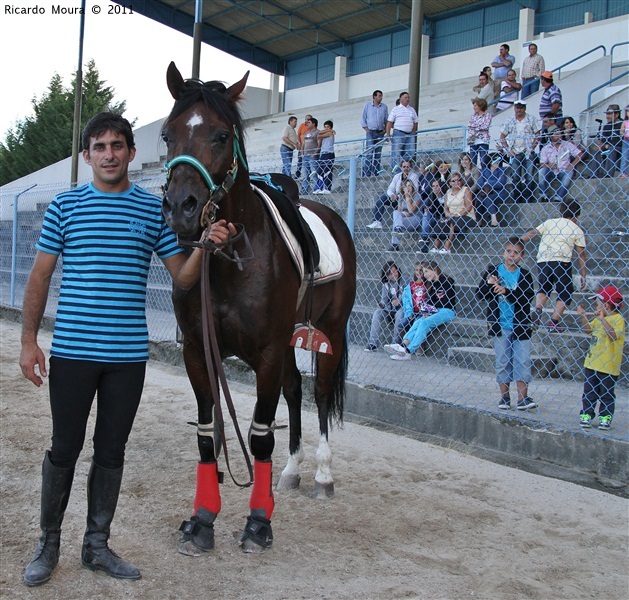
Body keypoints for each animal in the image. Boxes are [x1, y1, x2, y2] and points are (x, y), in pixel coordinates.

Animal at [162, 63, 356, 556]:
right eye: (168, 135)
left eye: (221, 135)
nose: (181, 208)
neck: (232, 258)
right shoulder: (198, 351)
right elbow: (208, 432)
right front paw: (202, 520)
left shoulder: (266, 353)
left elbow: (259, 435)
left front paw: (257, 524)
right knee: (294, 391)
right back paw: (291, 472)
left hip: (331, 331)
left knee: (319, 394)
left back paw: (322, 474)